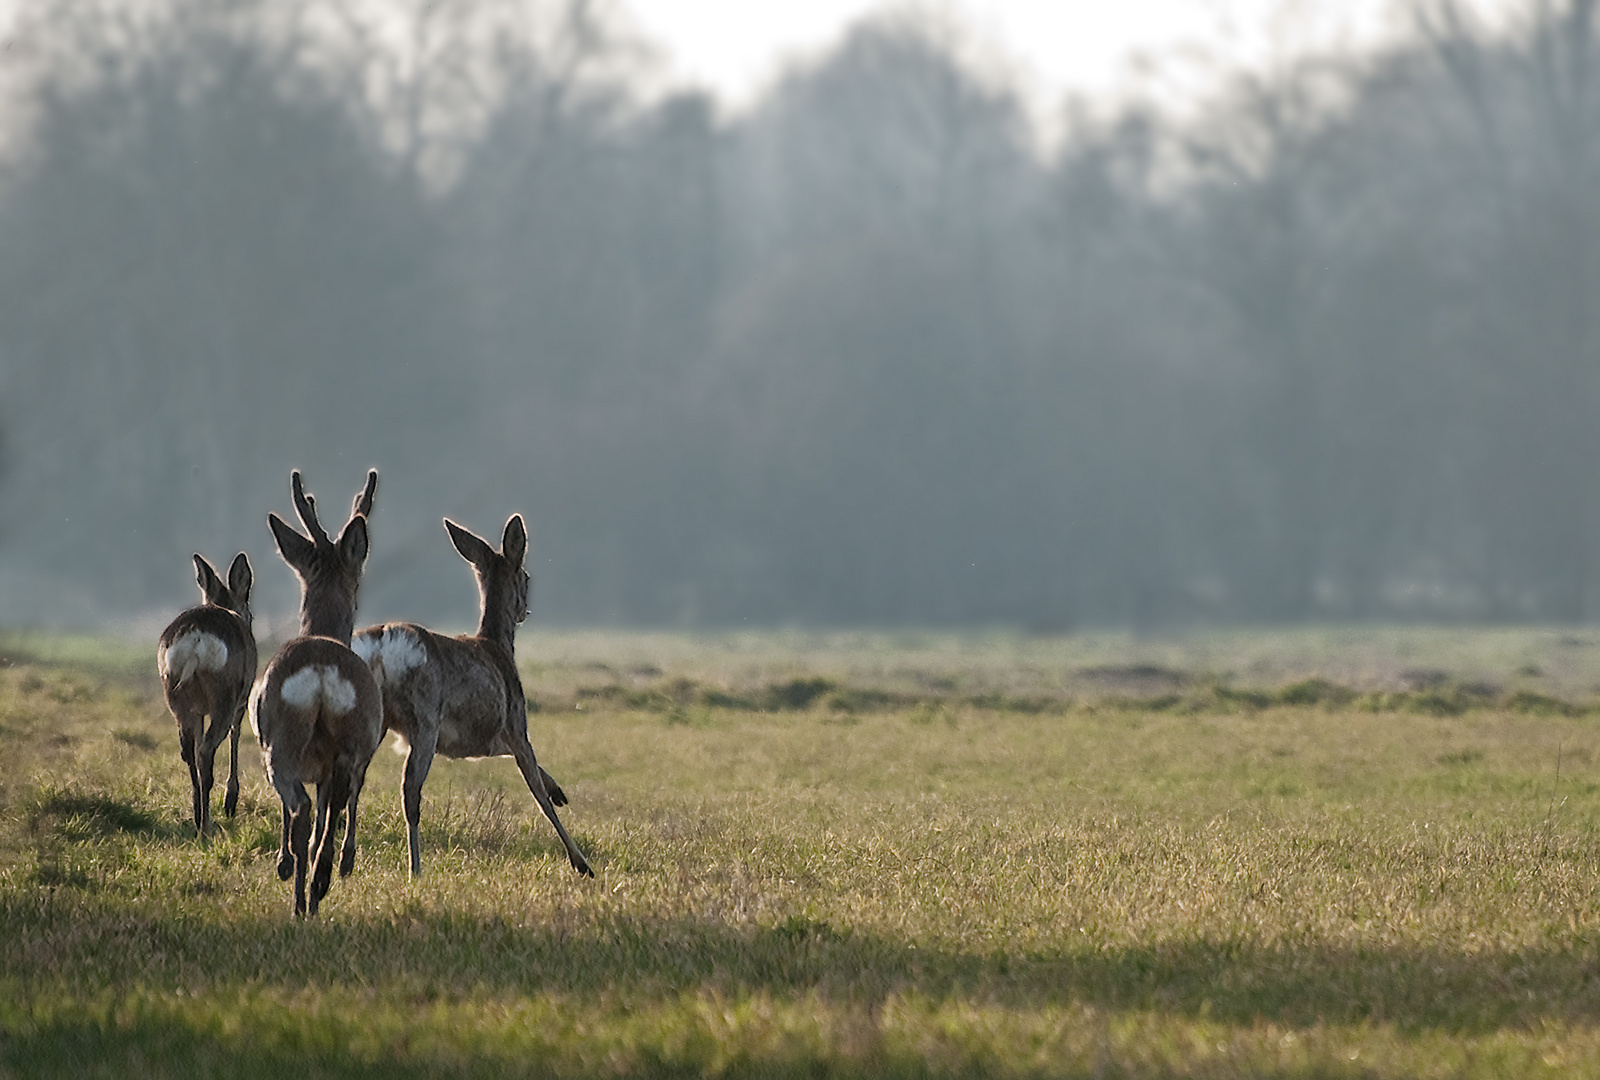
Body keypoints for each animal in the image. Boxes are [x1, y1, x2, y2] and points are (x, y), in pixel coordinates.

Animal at [157, 553, 257, 838]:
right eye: (252, 614)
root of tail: (195, 639)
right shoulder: (242, 699)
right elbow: (236, 734)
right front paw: (231, 801)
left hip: (176, 697)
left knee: (189, 751)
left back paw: (198, 816)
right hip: (225, 696)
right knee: (205, 750)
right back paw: (206, 825)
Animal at [251, 470, 385, 915]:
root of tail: (324, 672)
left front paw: (282, 866)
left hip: (281, 744)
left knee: (301, 810)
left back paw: (298, 896)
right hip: (348, 745)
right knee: (326, 815)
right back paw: (319, 884)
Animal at [356, 512, 595, 876]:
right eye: (526, 576)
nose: (525, 609)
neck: (498, 647)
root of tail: (382, 642)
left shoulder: (482, 739)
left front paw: (559, 790)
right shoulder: (514, 721)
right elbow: (538, 794)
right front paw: (580, 862)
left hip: (375, 718)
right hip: (425, 717)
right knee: (410, 791)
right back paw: (415, 868)